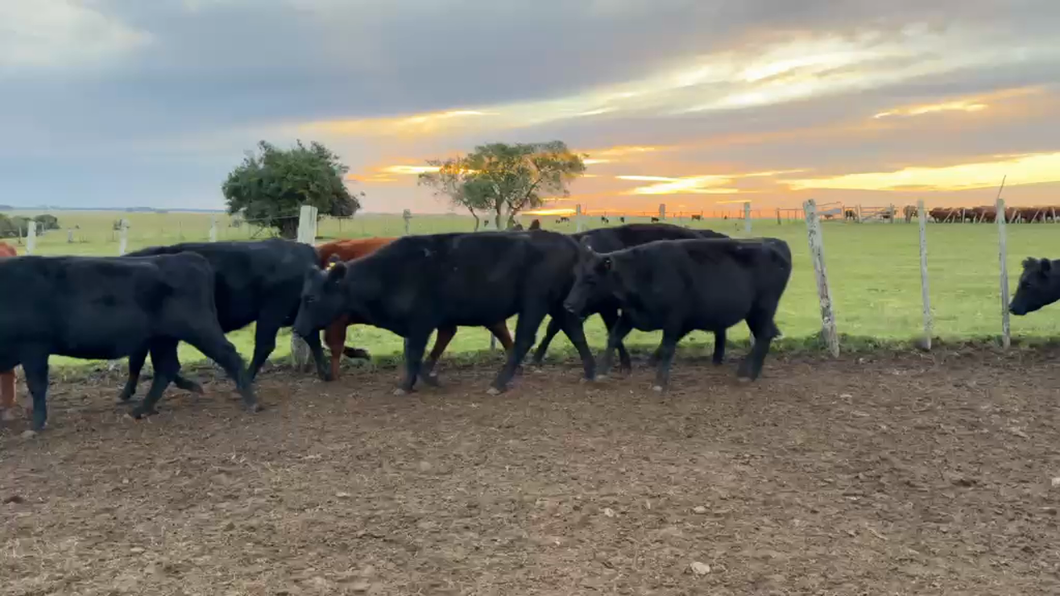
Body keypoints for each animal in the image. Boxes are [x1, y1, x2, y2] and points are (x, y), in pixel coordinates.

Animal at [0, 253, 258, 431]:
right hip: (163, 339)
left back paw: (252, 400)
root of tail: (188, 257)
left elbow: (37, 385)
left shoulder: (33, 347)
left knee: (229, 354)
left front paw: (36, 425)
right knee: (167, 368)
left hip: (198, 329)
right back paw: (142, 409)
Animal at [117, 239, 331, 403]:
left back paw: (245, 379)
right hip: (297, 311)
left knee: (264, 345)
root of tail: (305, 249)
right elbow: (143, 361)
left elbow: (143, 361)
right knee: (311, 335)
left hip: (271, 312)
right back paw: (324, 372)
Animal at [530, 223, 729, 371]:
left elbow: (612, 329)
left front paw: (625, 362)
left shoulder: (606, 307)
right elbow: (553, 327)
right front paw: (537, 356)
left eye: (590, 279)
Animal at [562, 237, 792, 391]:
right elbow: (613, 338)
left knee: (764, 335)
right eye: (577, 276)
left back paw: (747, 374)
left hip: (762, 309)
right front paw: (600, 373)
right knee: (766, 335)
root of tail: (774, 244)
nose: (569, 305)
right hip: (756, 313)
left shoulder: (673, 320)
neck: (643, 273)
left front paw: (659, 382)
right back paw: (749, 372)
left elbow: (667, 348)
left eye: (591, 280)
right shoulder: (629, 316)